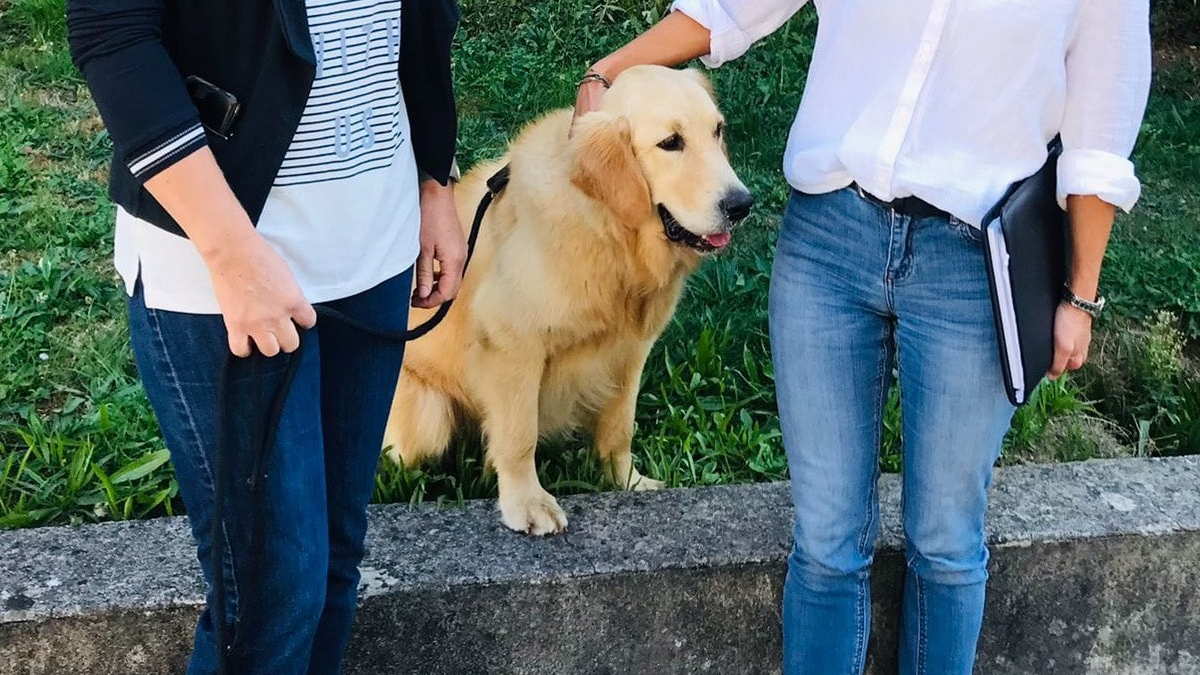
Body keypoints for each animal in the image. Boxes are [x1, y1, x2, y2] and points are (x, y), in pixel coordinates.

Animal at [384, 65, 748, 533]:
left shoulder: (631, 349)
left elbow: (619, 427)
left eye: (717, 131)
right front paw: (526, 503)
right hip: (425, 418)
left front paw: (625, 481)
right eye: (671, 142)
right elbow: (519, 436)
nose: (741, 205)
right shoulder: (512, 342)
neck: (609, 232)